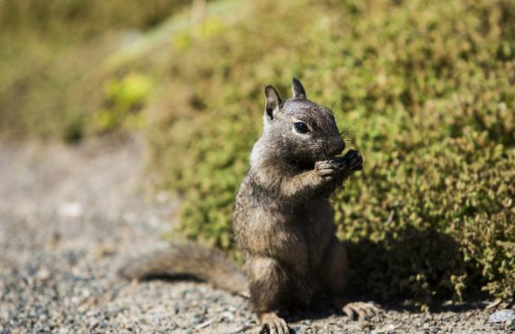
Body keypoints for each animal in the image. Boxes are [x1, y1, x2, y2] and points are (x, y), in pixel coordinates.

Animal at [120, 79, 378, 334]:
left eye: (330, 113)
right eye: (301, 127)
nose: (339, 145)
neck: (302, 161)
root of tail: (306, 290)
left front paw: (353, 159)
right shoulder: (268, 173)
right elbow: (292, 187)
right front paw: (320, 171)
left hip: (335, 256)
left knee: (336, 294)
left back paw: (354, 304)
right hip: (267, 271)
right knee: (260, 307)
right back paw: (272, 319)